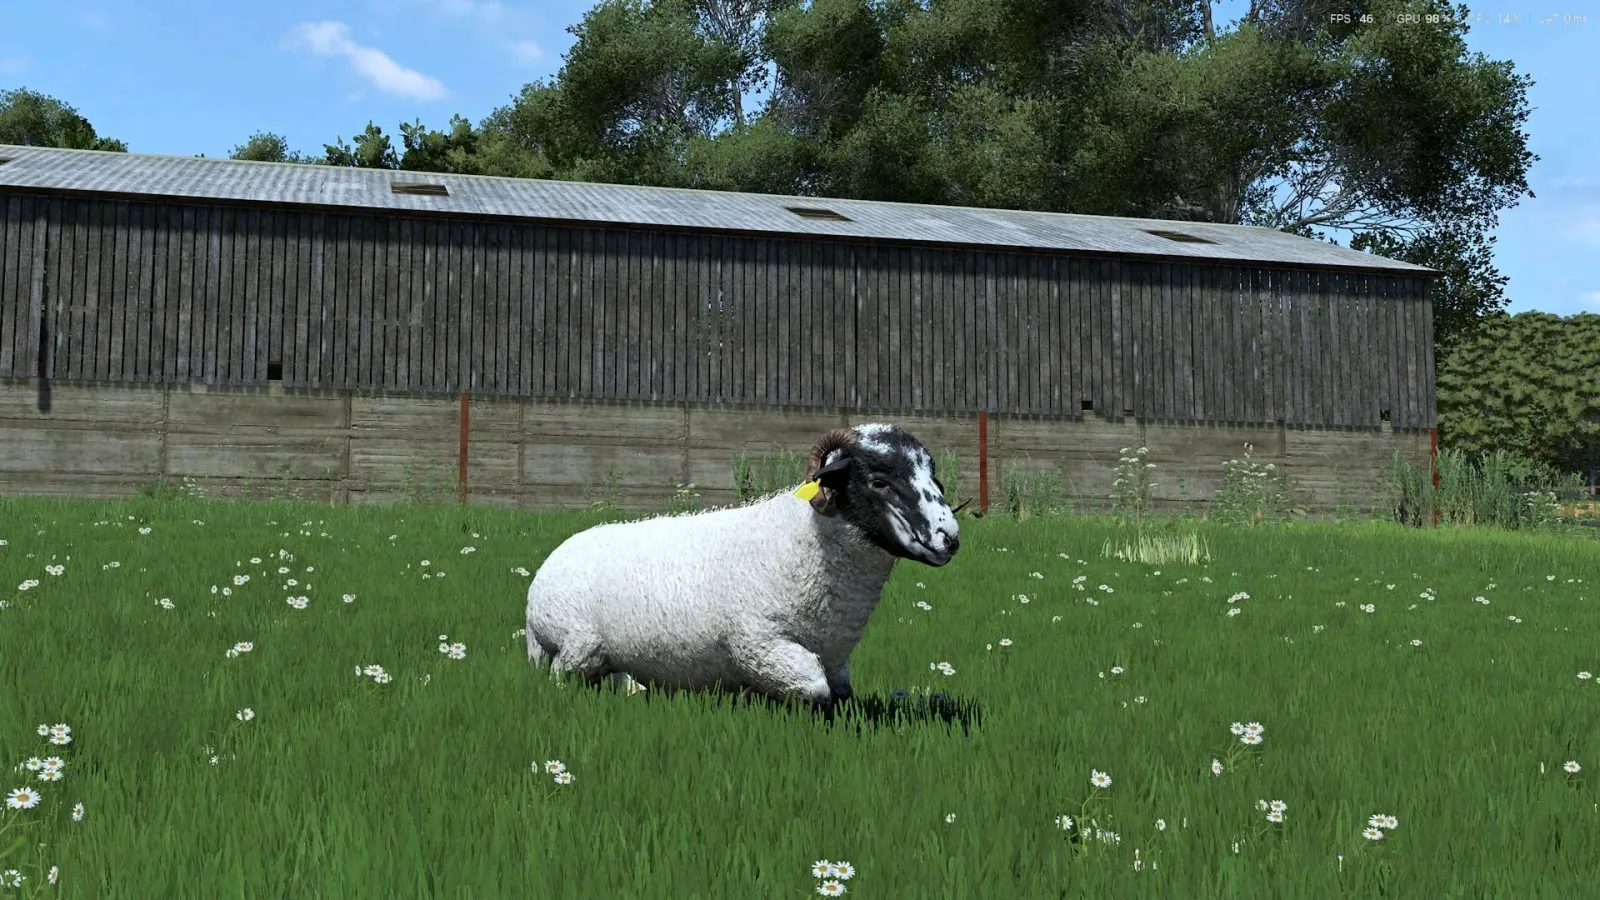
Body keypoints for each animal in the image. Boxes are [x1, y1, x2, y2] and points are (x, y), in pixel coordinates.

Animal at [524, 423, 963, 708]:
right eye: (878, 481)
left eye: (934, 477)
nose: (950, 538)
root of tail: (550, 562)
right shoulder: (761, 645)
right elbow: (814, 690)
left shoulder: (836, 659)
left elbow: (840, 695)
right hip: (577, 644)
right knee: (562, 676)